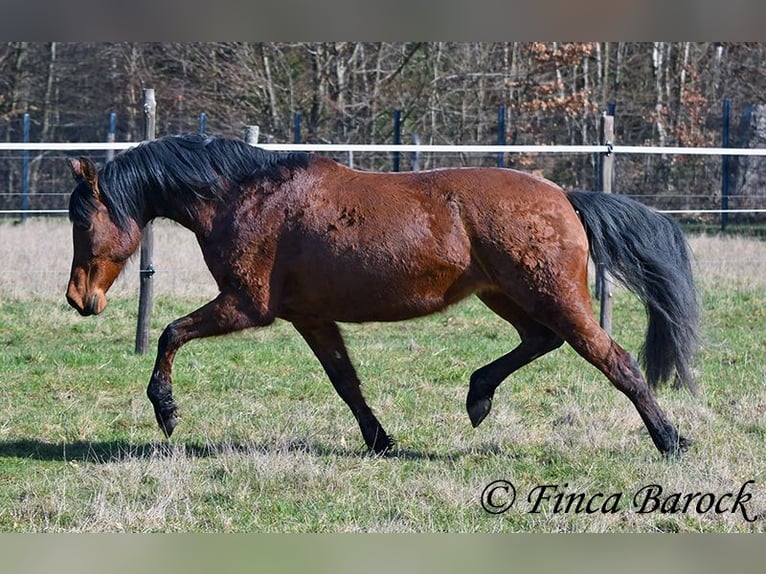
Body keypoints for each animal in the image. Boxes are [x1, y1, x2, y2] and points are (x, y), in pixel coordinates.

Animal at [66, 133, 699, 456]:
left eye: (81, 219)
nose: (79, 299)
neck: (246, 197)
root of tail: (564, 196)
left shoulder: (247, 306)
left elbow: (170, 333)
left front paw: (166, 412)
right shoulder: (309, 317)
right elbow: (345, 381)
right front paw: (380, 441)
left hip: (553, 296)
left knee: (615, 359)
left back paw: (671, 440)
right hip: (507, 296)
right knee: (541, 341)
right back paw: (478, 396)